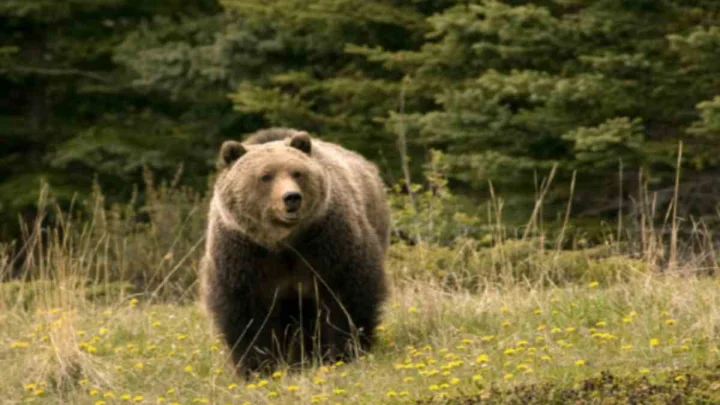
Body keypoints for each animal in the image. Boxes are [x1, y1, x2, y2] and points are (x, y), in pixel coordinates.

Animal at [200, 128, 390, 376]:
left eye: (297, 173)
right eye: (266, 176)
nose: (291, 197)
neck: (283, 242)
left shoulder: (327, 242)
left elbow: (344, 296)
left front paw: (342, 352)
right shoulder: (243, 253)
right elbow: (247, 313)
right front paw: (258, 366)